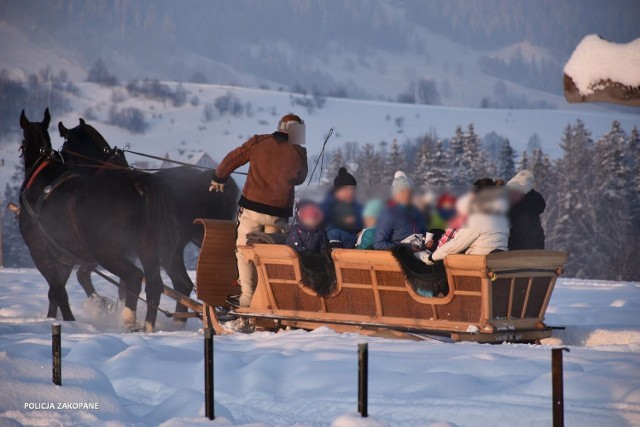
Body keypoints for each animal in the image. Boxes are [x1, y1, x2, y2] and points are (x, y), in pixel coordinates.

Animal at [19, 109, 179, 332]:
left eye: (66, 147)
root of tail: (139, 184)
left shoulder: (39, 250)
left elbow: (58, 290)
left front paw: (68, 321)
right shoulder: (64, 255)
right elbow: (56, 291)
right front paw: (54, 318)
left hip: (107, 252)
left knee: (134, 277)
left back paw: (129, 320)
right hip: (148, 247)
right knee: (154, 285)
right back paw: (147, 326)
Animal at [58, 118, 240, 316]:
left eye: (64, 147)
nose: (64, 171)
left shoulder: (107, 247)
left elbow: (89, 275)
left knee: (180, 283)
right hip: (194, 239)